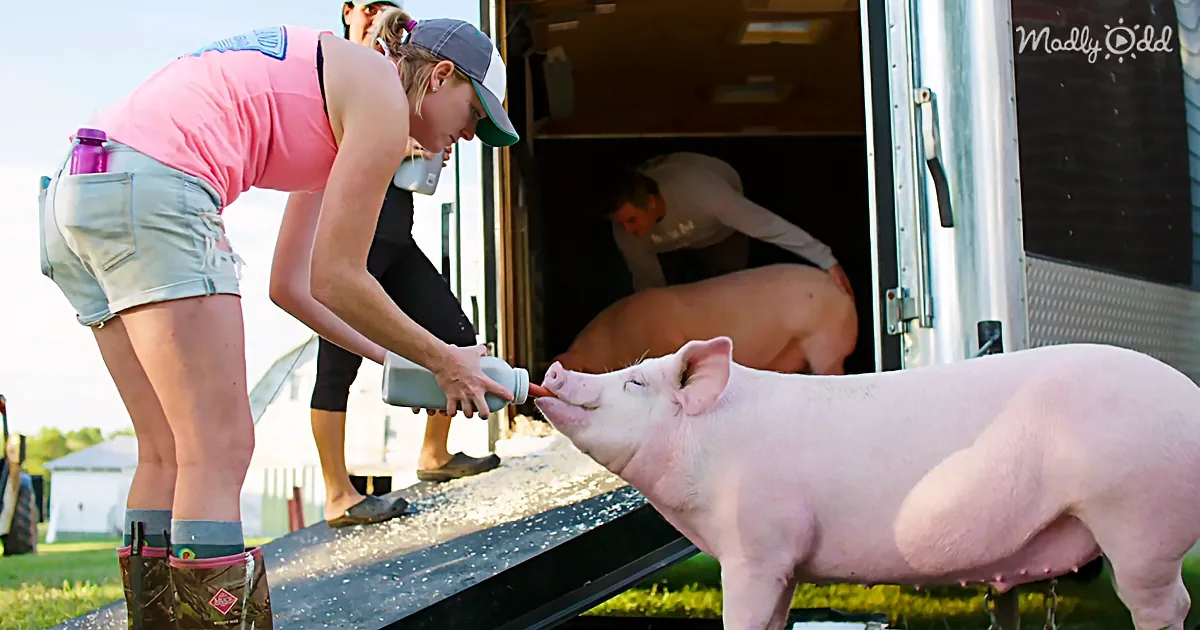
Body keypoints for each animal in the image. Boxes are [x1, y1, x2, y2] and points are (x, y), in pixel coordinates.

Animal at [534, 337, 1200, 630]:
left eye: (636, 383)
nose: (556, 368)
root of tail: (1190, 393)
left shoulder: (757, 545)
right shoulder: (786, 564)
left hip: (1137, 514)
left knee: (1165, 604)